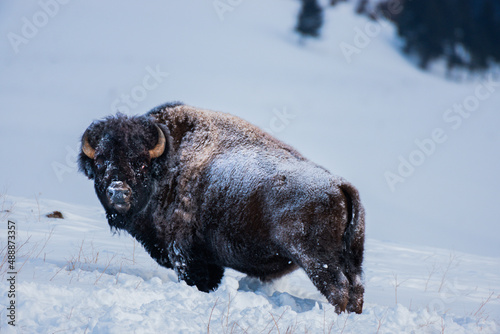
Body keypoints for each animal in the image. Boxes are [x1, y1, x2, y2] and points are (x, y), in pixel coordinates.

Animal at [80, 102, 366, 314]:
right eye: (100, 162)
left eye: (140, 163)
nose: (118, 191)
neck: (166, 164)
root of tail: (341, 185)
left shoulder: (183, 253)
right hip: (351, 260)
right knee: (356, 289)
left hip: (316, 260)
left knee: (339, 289)